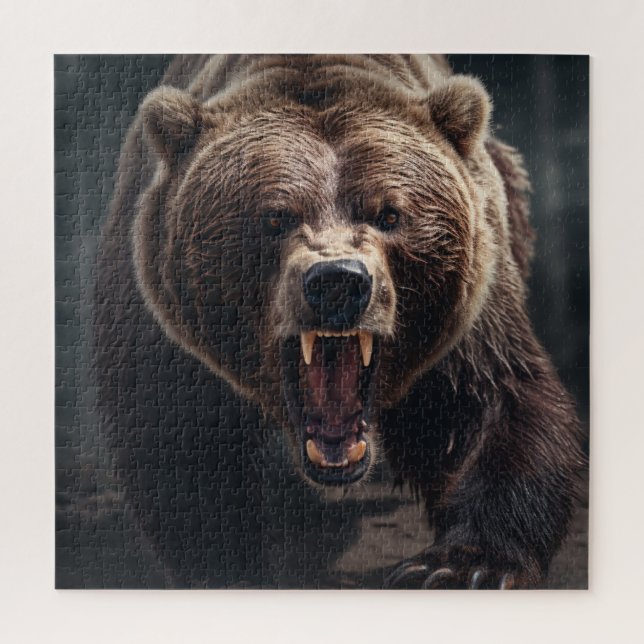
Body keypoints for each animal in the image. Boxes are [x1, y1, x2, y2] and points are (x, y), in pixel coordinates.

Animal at [94, 54, 583, 589]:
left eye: (390, 214)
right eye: (275, 217)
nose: (337, 282)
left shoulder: (474, 304)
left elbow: (494, 401)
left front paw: (461, 564)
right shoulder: (165, 323)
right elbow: (177, 439)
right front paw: (233, 563)